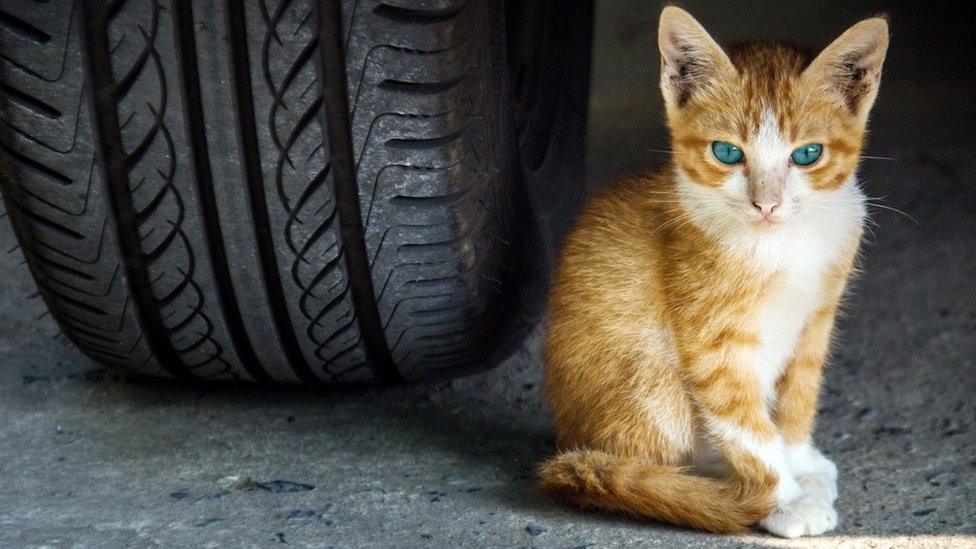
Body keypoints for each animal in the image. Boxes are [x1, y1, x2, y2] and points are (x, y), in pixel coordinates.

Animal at [536, 6, 888, 536]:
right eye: (727, 152)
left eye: (807, 154)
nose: (767, 204)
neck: (784, 243)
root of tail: (569, 443)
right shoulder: (713, 340)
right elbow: (745, 423)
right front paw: (783, 498)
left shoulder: (817, 317)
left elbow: (799, 396)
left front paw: (800, 462)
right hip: (651, 380)